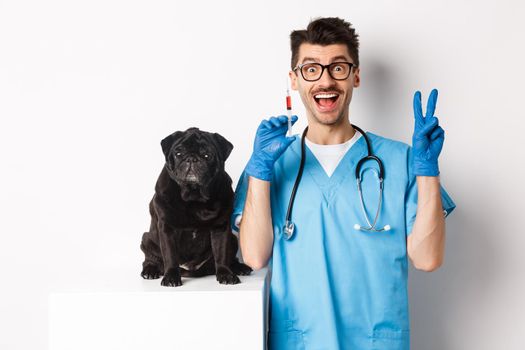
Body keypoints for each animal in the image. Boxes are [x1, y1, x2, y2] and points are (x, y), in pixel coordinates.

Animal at [141, 127, 252, 286]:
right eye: (178, 153)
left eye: (207, 155)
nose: (191, 159)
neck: (194, 197)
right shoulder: (167, 228)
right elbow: (170, 256)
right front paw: (171, 277)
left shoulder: (220, 228)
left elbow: (222, 253)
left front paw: (225, 274)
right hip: (147, 239)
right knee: (150, 258)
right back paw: (150, 270)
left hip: (233, 239)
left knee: (230, 258)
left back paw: (239, 268)